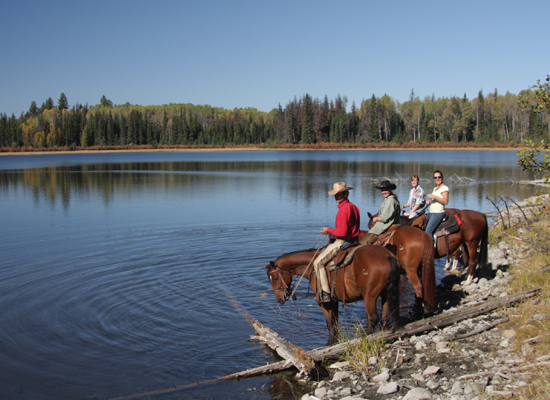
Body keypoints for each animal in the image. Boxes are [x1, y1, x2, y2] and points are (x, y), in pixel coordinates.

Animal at [266, 245, 402, 346]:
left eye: (276, 278)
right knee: (385, 318)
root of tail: (387, 255)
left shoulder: (324, 303)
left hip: (370, 296)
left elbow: (330, 323)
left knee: (373, 318)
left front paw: (329, 343)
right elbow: (335, 323)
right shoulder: (334, 300)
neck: (312, 266)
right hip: (386, 294)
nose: (279, 299)